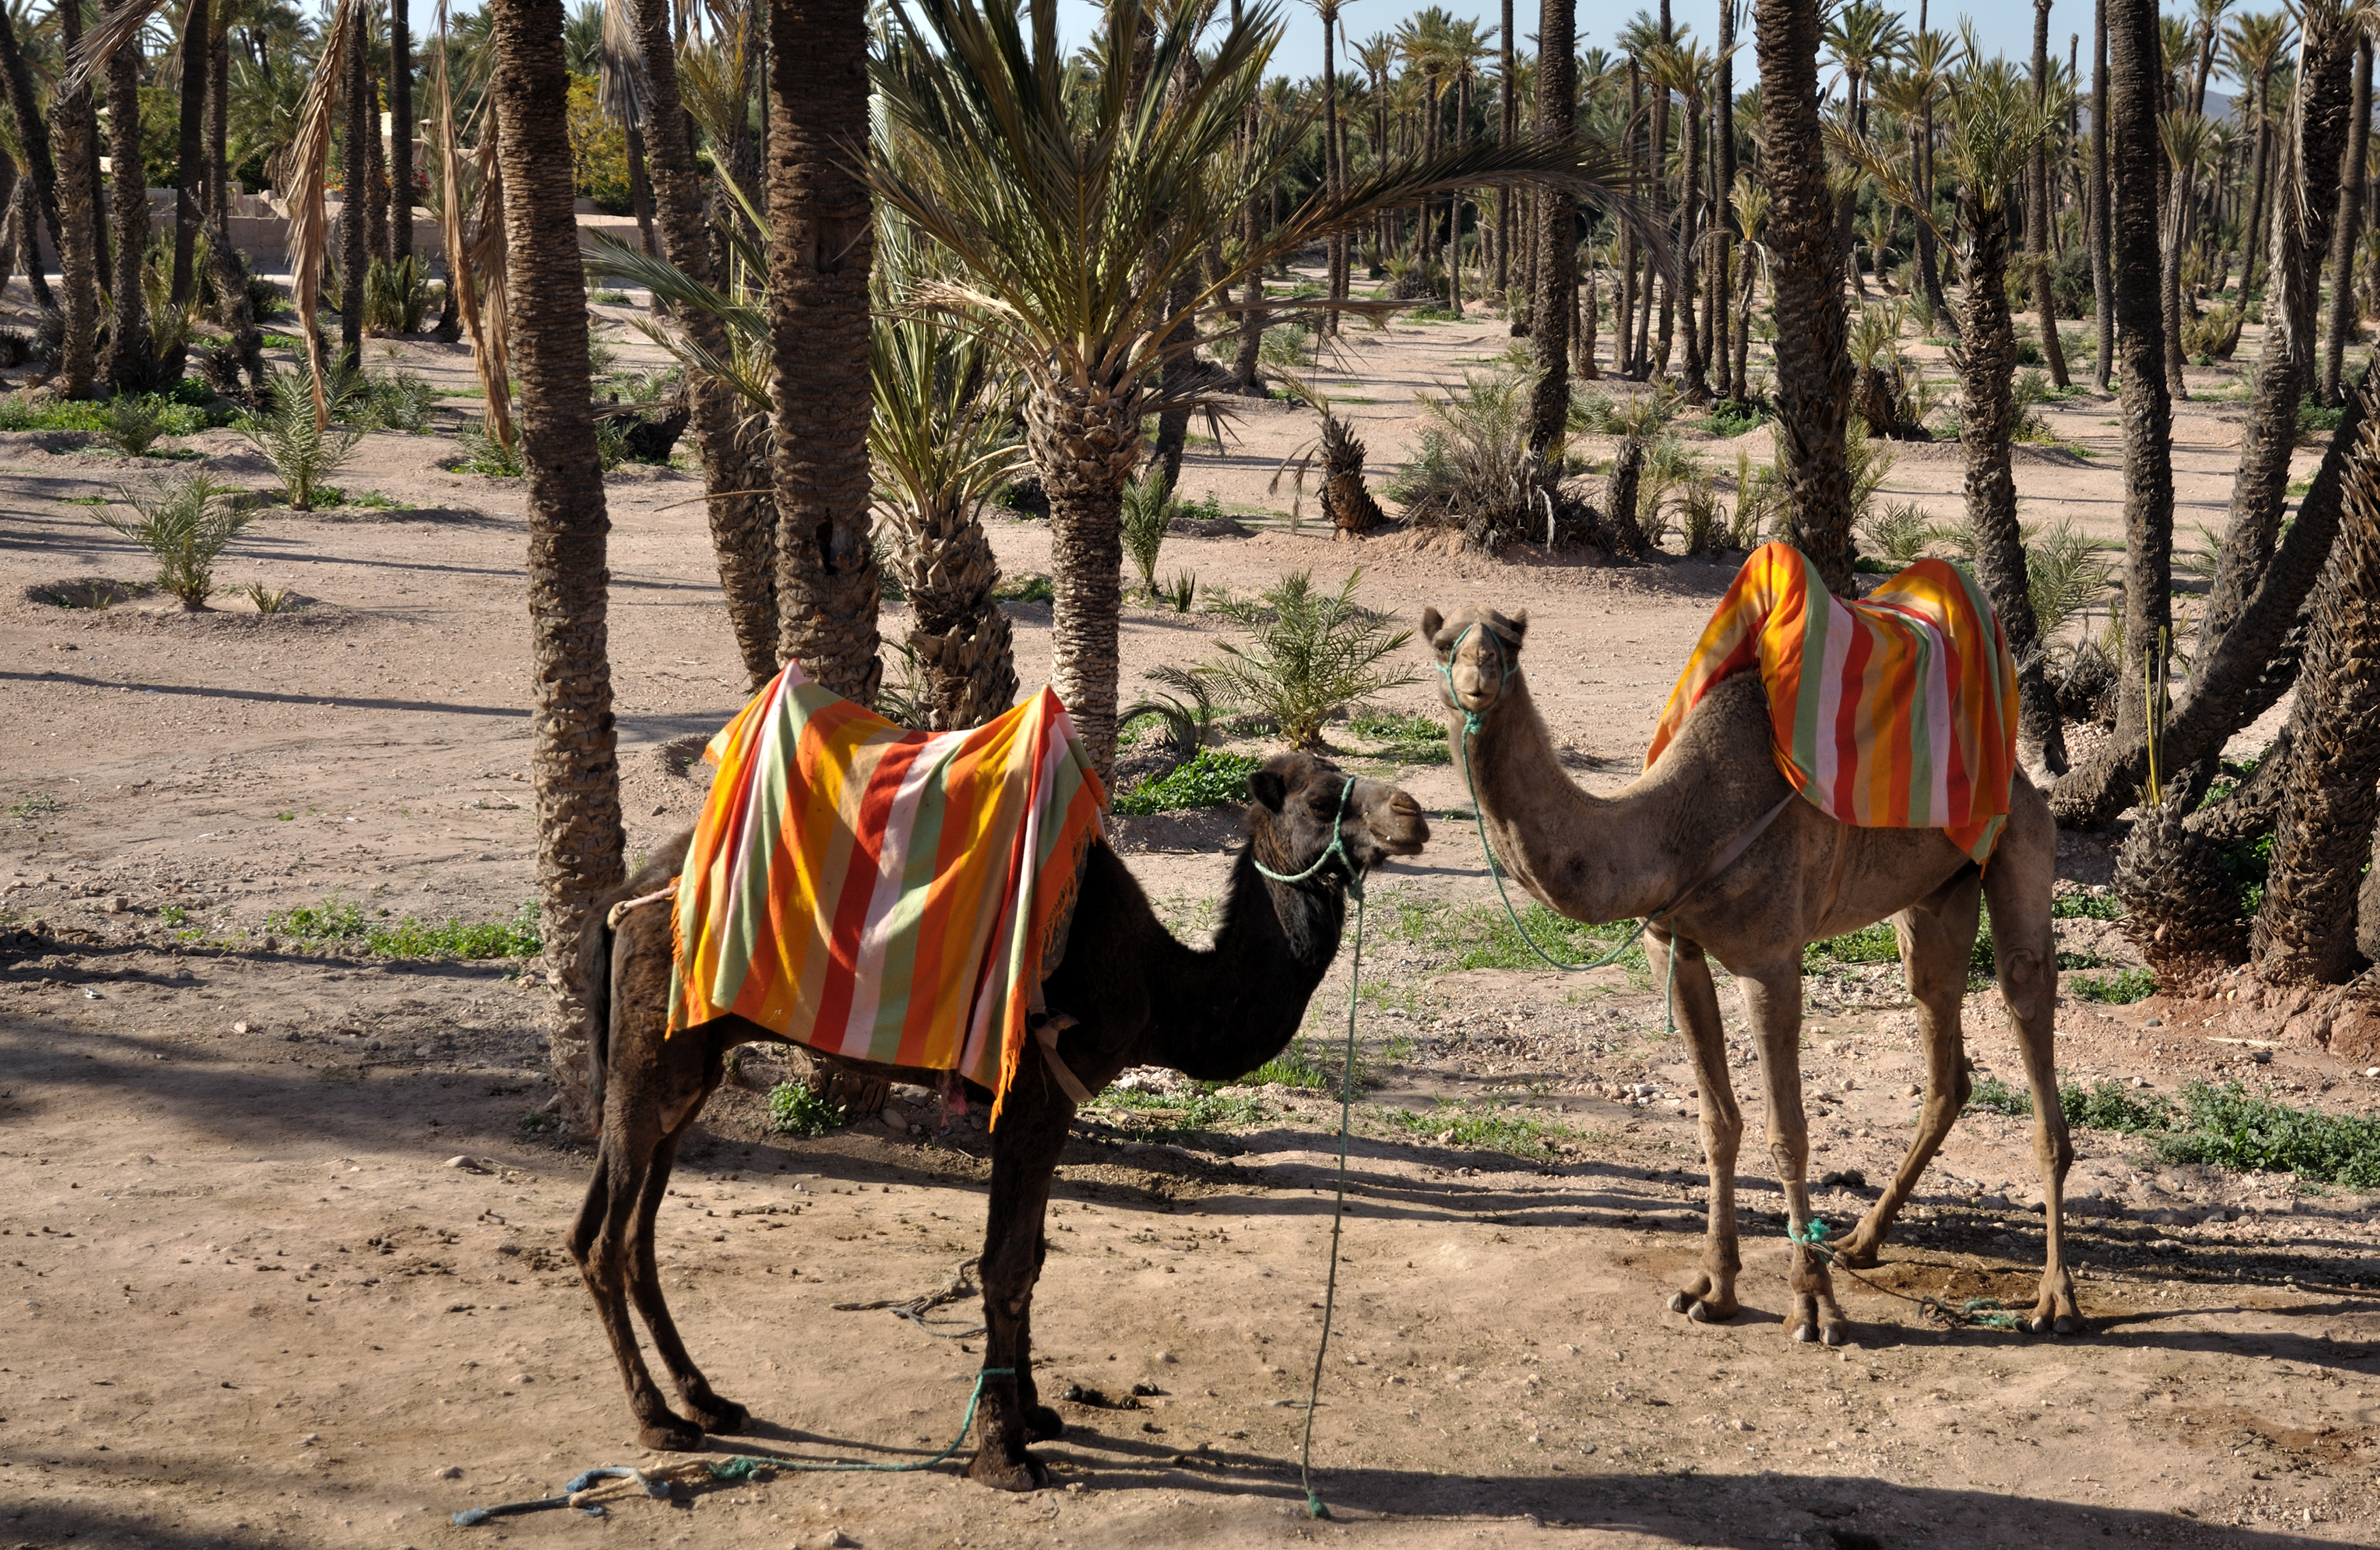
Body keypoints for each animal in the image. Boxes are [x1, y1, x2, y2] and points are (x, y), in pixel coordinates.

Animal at [566, 752, 1418, 1495]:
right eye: (1323, 799)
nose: (1412, 814)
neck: (1157, 984)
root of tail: (626, 896)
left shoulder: (1052, 1104)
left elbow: (1032, 1258)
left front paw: (1034, 1412)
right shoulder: (1035, 1096)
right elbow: (1005, 1265)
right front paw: (1004, 1453)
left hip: (690, 1064)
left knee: (628, 1230)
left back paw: (706, 1399)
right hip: (654, 1053)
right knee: (606, 1236)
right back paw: (657, 1418)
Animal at [1418, 607, 2075, 1343]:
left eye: (1508, 643)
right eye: (1442, 643)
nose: (1476, 678)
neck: (1676, 828)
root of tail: (2023, 777)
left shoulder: (1769, 957)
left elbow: (1787, 1133)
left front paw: (1813, 1307)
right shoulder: (1672, 945)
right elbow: (1716, 1120)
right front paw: (1711, 1286)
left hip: (2021, 841)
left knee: (2027, 1006)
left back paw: (2054, 1298)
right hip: (1934, 895)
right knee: (1943, 1054)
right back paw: (1860, 1240)